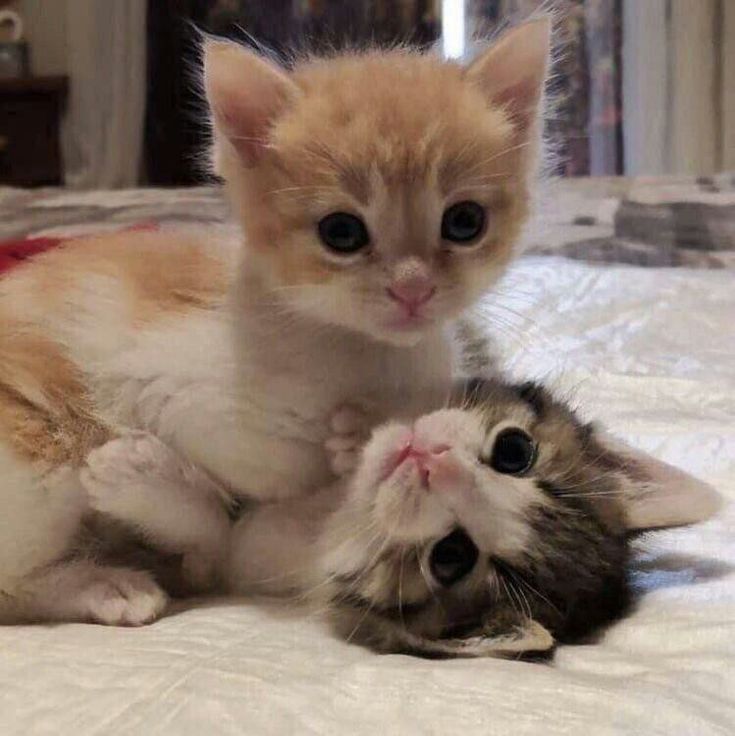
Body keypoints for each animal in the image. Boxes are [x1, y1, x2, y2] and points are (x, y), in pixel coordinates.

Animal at [0, 20, 552, 624]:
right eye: (341, 232)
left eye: (465, 222)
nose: (413, 287)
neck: (357, 351)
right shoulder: (164, 382)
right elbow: (264, 479)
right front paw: (347, 441)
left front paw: (365, 427)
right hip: (39, 452)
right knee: (14, 581)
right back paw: (106, 583)